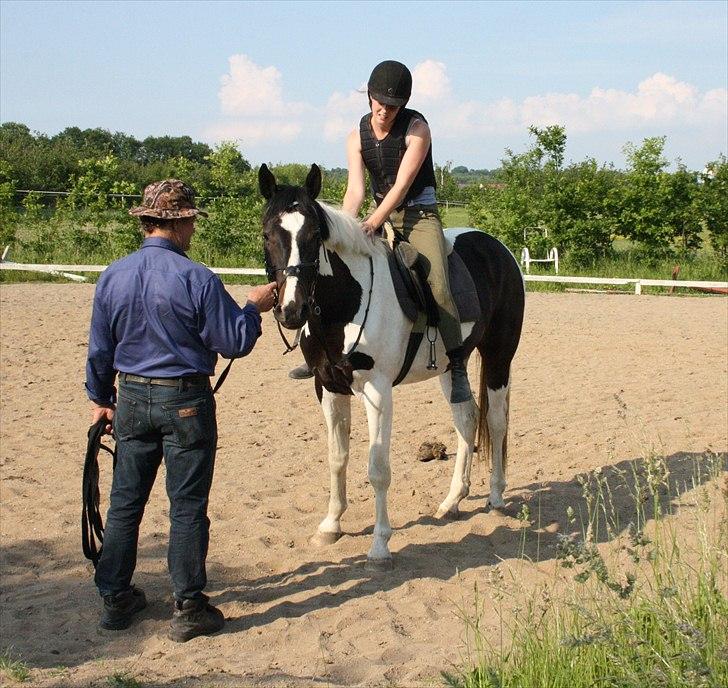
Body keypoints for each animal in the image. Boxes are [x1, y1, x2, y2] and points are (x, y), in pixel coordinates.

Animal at [260, 164, 524, 568]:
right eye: (268, 234)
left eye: (313, 235)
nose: (291, 310)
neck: (345, 303)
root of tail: (499, 249)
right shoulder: (328, 386)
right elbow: (337, 457)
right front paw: (330, 526)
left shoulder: (377, 391)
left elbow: (378, 469)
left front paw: (380, 544)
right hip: (452, 367)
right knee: (466, 421)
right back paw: (452, 502)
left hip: (498, 357)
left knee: (496, 422)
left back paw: (495, 496)